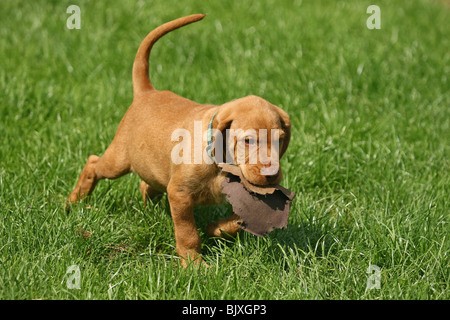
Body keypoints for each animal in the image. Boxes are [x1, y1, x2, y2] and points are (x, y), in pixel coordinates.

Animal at [67, 13, 292, 266]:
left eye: (280, 140)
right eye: (248, 141)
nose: (272, 175)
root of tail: (147, 92)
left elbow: (236, 221)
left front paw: (216, 229)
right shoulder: (179, 193)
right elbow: (187, 232)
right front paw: (193, 263)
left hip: (152, 167)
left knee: (146, 184)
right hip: (119, 160)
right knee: (93, 163)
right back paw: (74, 201)